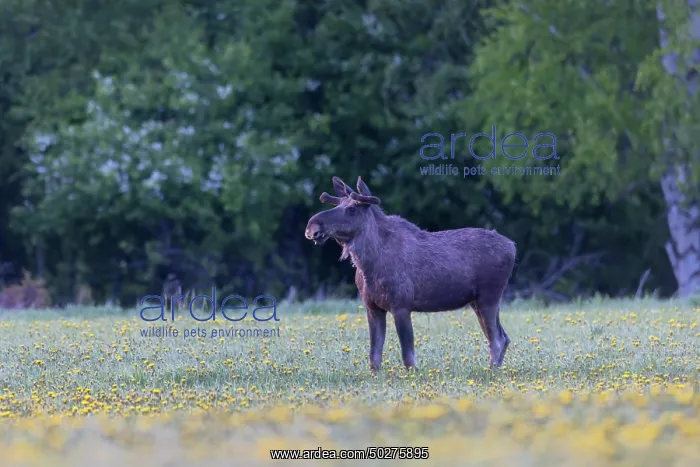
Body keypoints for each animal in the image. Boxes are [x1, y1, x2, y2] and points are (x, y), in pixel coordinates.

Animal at [305, 176, 516, 372]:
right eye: (338, 204)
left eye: (351, 209)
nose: (312, 226)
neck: (368, 265)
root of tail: (513, 247)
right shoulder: (372, 307)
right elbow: (374, 357)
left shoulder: (401, 305)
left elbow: (408, 357)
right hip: (476, 301)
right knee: (503, 337)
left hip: (489, 296)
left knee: (497, 339)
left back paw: (490, 371)